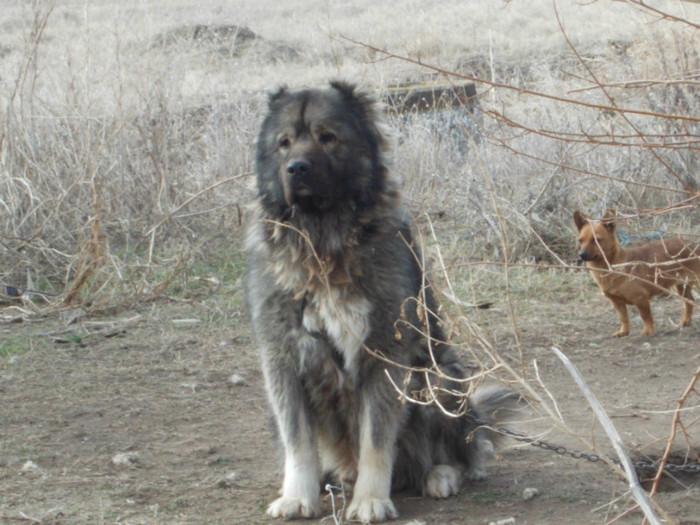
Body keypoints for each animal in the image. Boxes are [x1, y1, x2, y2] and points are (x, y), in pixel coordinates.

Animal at [246, 81, 520, 520]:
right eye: (283, 143)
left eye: (327, 137)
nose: (296, 169)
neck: (325, 247)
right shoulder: (283, 358)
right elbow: (298, 441)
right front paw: (297, 496)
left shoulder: (385, 357)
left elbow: (375, 439)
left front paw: (371, 499)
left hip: (437, 377)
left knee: (460, 454)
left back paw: (440, 475)